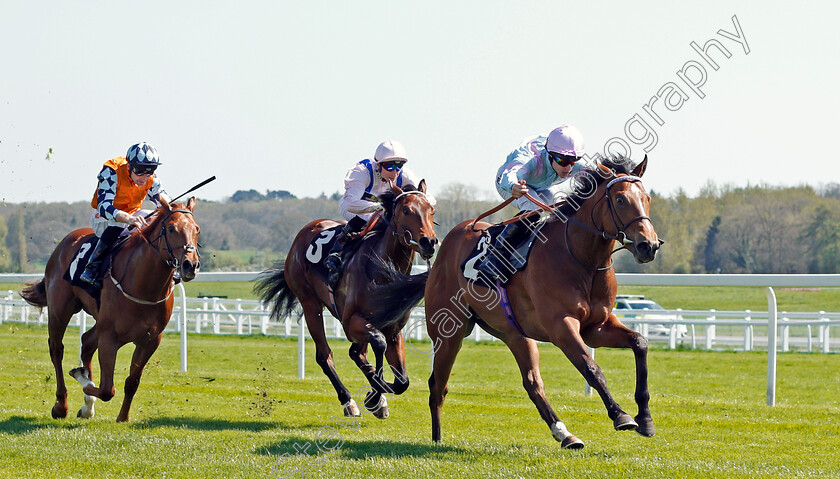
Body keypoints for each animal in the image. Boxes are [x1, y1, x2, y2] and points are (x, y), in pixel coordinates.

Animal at [19, 197, 200, 422]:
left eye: (197, 229)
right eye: (171, 228)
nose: (190, 265)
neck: (144, 285)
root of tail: (65, 242)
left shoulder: (150, 340)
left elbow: (132, 382)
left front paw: (122, 417)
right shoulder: (109, 337)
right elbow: (107, 389)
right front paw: (81, 378)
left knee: (87, 342)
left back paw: (87, 406)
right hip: (60, 310)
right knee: (56, 349)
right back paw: (61, 405)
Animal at [258, 182, 436, 418]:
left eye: (431, 210)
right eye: (406, 210)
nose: (429, 242)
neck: (382, 271)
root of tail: (306, 230)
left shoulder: (392, 328)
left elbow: (402, 381)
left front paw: (377, 395)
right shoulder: (351, 322)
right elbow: (377, 344)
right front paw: (374, 394)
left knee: (357, 353)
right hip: (310, 304)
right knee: (325, 355)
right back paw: (348, 401)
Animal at [370, 157, 660, 450]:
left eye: (646, 198)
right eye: (620, 199)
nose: (648, 245)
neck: (580, 258)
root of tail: (444, 247)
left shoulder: (596, 327)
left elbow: (640, 343)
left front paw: (645, 418)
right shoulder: (562, 326)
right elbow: (591, 368)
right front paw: (621, 415)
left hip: (515, 334)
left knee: (532, 383)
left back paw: (564, 434)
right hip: (448, 332)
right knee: (437, 386)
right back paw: (436, 438)